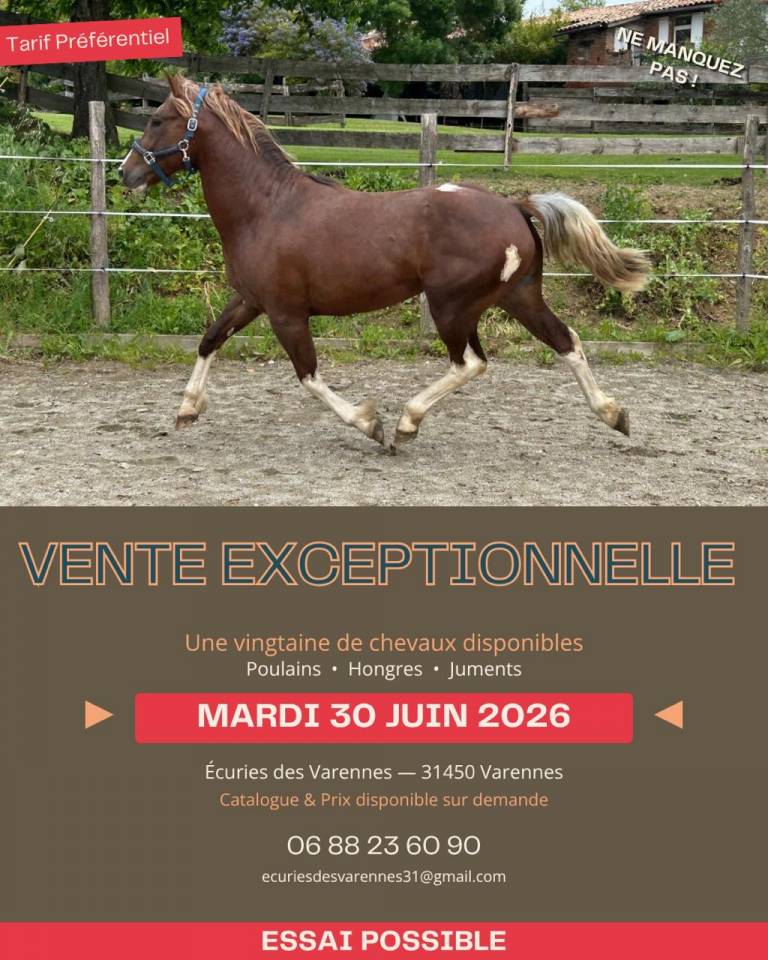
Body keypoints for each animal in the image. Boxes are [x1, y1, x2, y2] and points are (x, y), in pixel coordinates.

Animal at [119, 74, 649, 449]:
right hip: (517, 297)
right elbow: (209, 341)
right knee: (566, 342)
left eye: (158, 119)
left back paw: (406, 424)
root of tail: (514, 206)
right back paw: (614, 414)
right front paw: (187, 409)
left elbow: (309, 376)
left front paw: (369, 423)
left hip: (451, 306)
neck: (266, 208)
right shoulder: (250, 300)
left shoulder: (286, 313)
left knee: (470, 363)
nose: (127, 172)